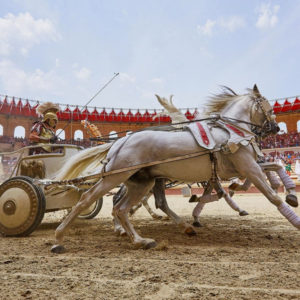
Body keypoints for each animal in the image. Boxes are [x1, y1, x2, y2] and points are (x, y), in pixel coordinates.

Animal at [49, 85, 300, 252]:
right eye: (269, 107)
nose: (276, 128)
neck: (230, 132)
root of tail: (120, 142)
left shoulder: (237, 170)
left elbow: (275, 166)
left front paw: (291, 193)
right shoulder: (247, 168)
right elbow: (271, 195)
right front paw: (295, 218)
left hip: (142, 182)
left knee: (122, 207)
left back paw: (141, 239)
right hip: (115, 178)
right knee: (88, 199)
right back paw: (59, 238)